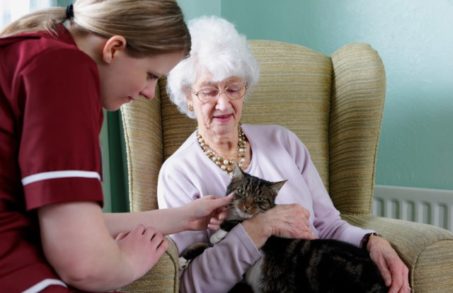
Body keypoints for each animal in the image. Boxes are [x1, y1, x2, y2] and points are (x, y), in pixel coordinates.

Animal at [182, 165, 386, 290]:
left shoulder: (268, 235)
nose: (246, 207)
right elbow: (200, 245)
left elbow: (239, 224)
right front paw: (182, 258)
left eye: (259, 200)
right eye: (241, 192)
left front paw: (220, 231)